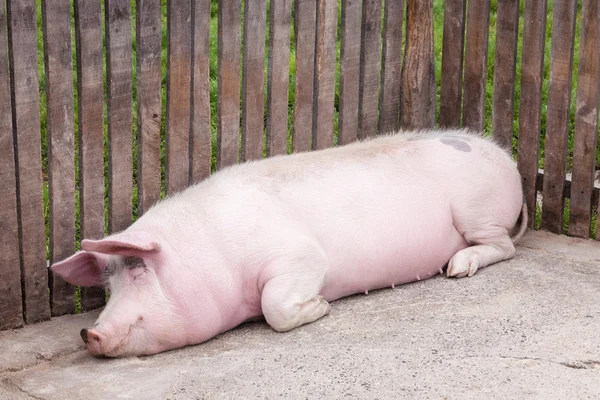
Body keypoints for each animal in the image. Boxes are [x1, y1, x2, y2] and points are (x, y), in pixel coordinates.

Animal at [52, 128, 528, 356]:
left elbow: (275, 306)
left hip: (477, 212)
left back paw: (456, 268)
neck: (212, 254)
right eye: (108, 284)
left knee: (504, 247)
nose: (89, 332)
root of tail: (507, 159)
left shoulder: (301, 257)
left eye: (139, 270)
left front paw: (321, 306)